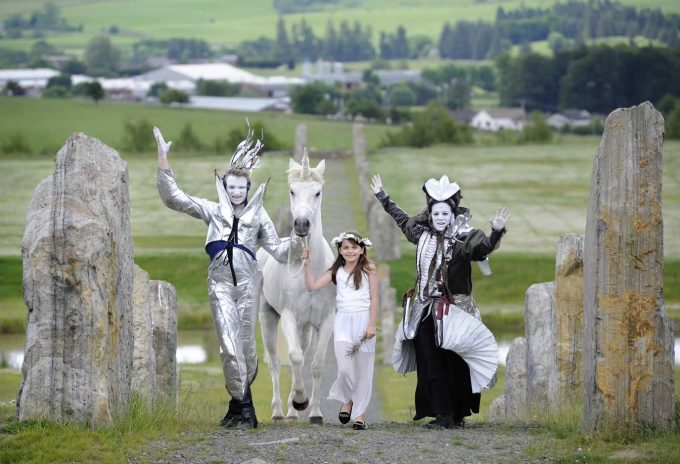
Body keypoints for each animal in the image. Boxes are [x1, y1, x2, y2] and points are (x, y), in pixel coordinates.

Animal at [256, 151, 336, 424]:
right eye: (292, 191)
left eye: (318, 192)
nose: (301, 225)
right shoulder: (289, 317)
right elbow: (295, 357)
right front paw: (301, 400)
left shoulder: (325, 321)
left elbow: (316, 365)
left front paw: (315, 412)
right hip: (268, 317)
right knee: (275, 363)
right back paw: (280, 412)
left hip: (305, 329)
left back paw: (292, 413)